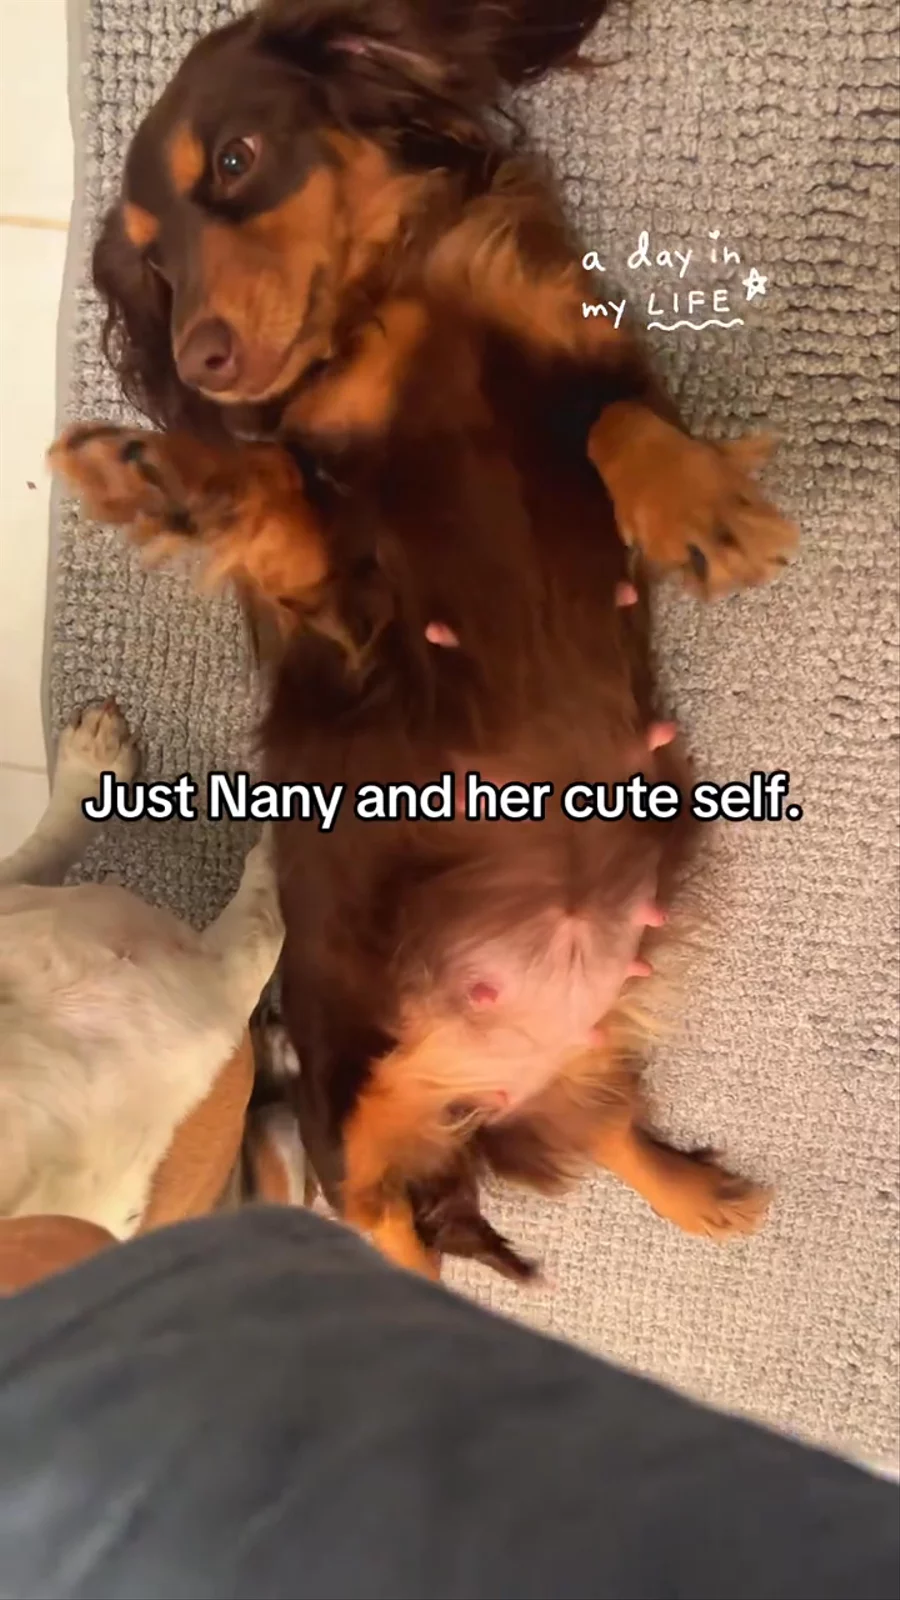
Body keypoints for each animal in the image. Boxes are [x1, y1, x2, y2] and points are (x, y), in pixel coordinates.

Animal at [49, 0, 798, 1280]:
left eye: (235, 162)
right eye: (152, 264)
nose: (199, 361)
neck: (386, 318)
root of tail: (486, 1081)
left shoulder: (590, 360)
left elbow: (614, 423)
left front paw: (698, 507)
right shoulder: (352, 610)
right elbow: (276, 496)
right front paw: (168, 478)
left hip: (571, 1053)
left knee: (605, 1127)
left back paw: (703, 1194)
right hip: (350, 1119)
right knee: (393, 1221)